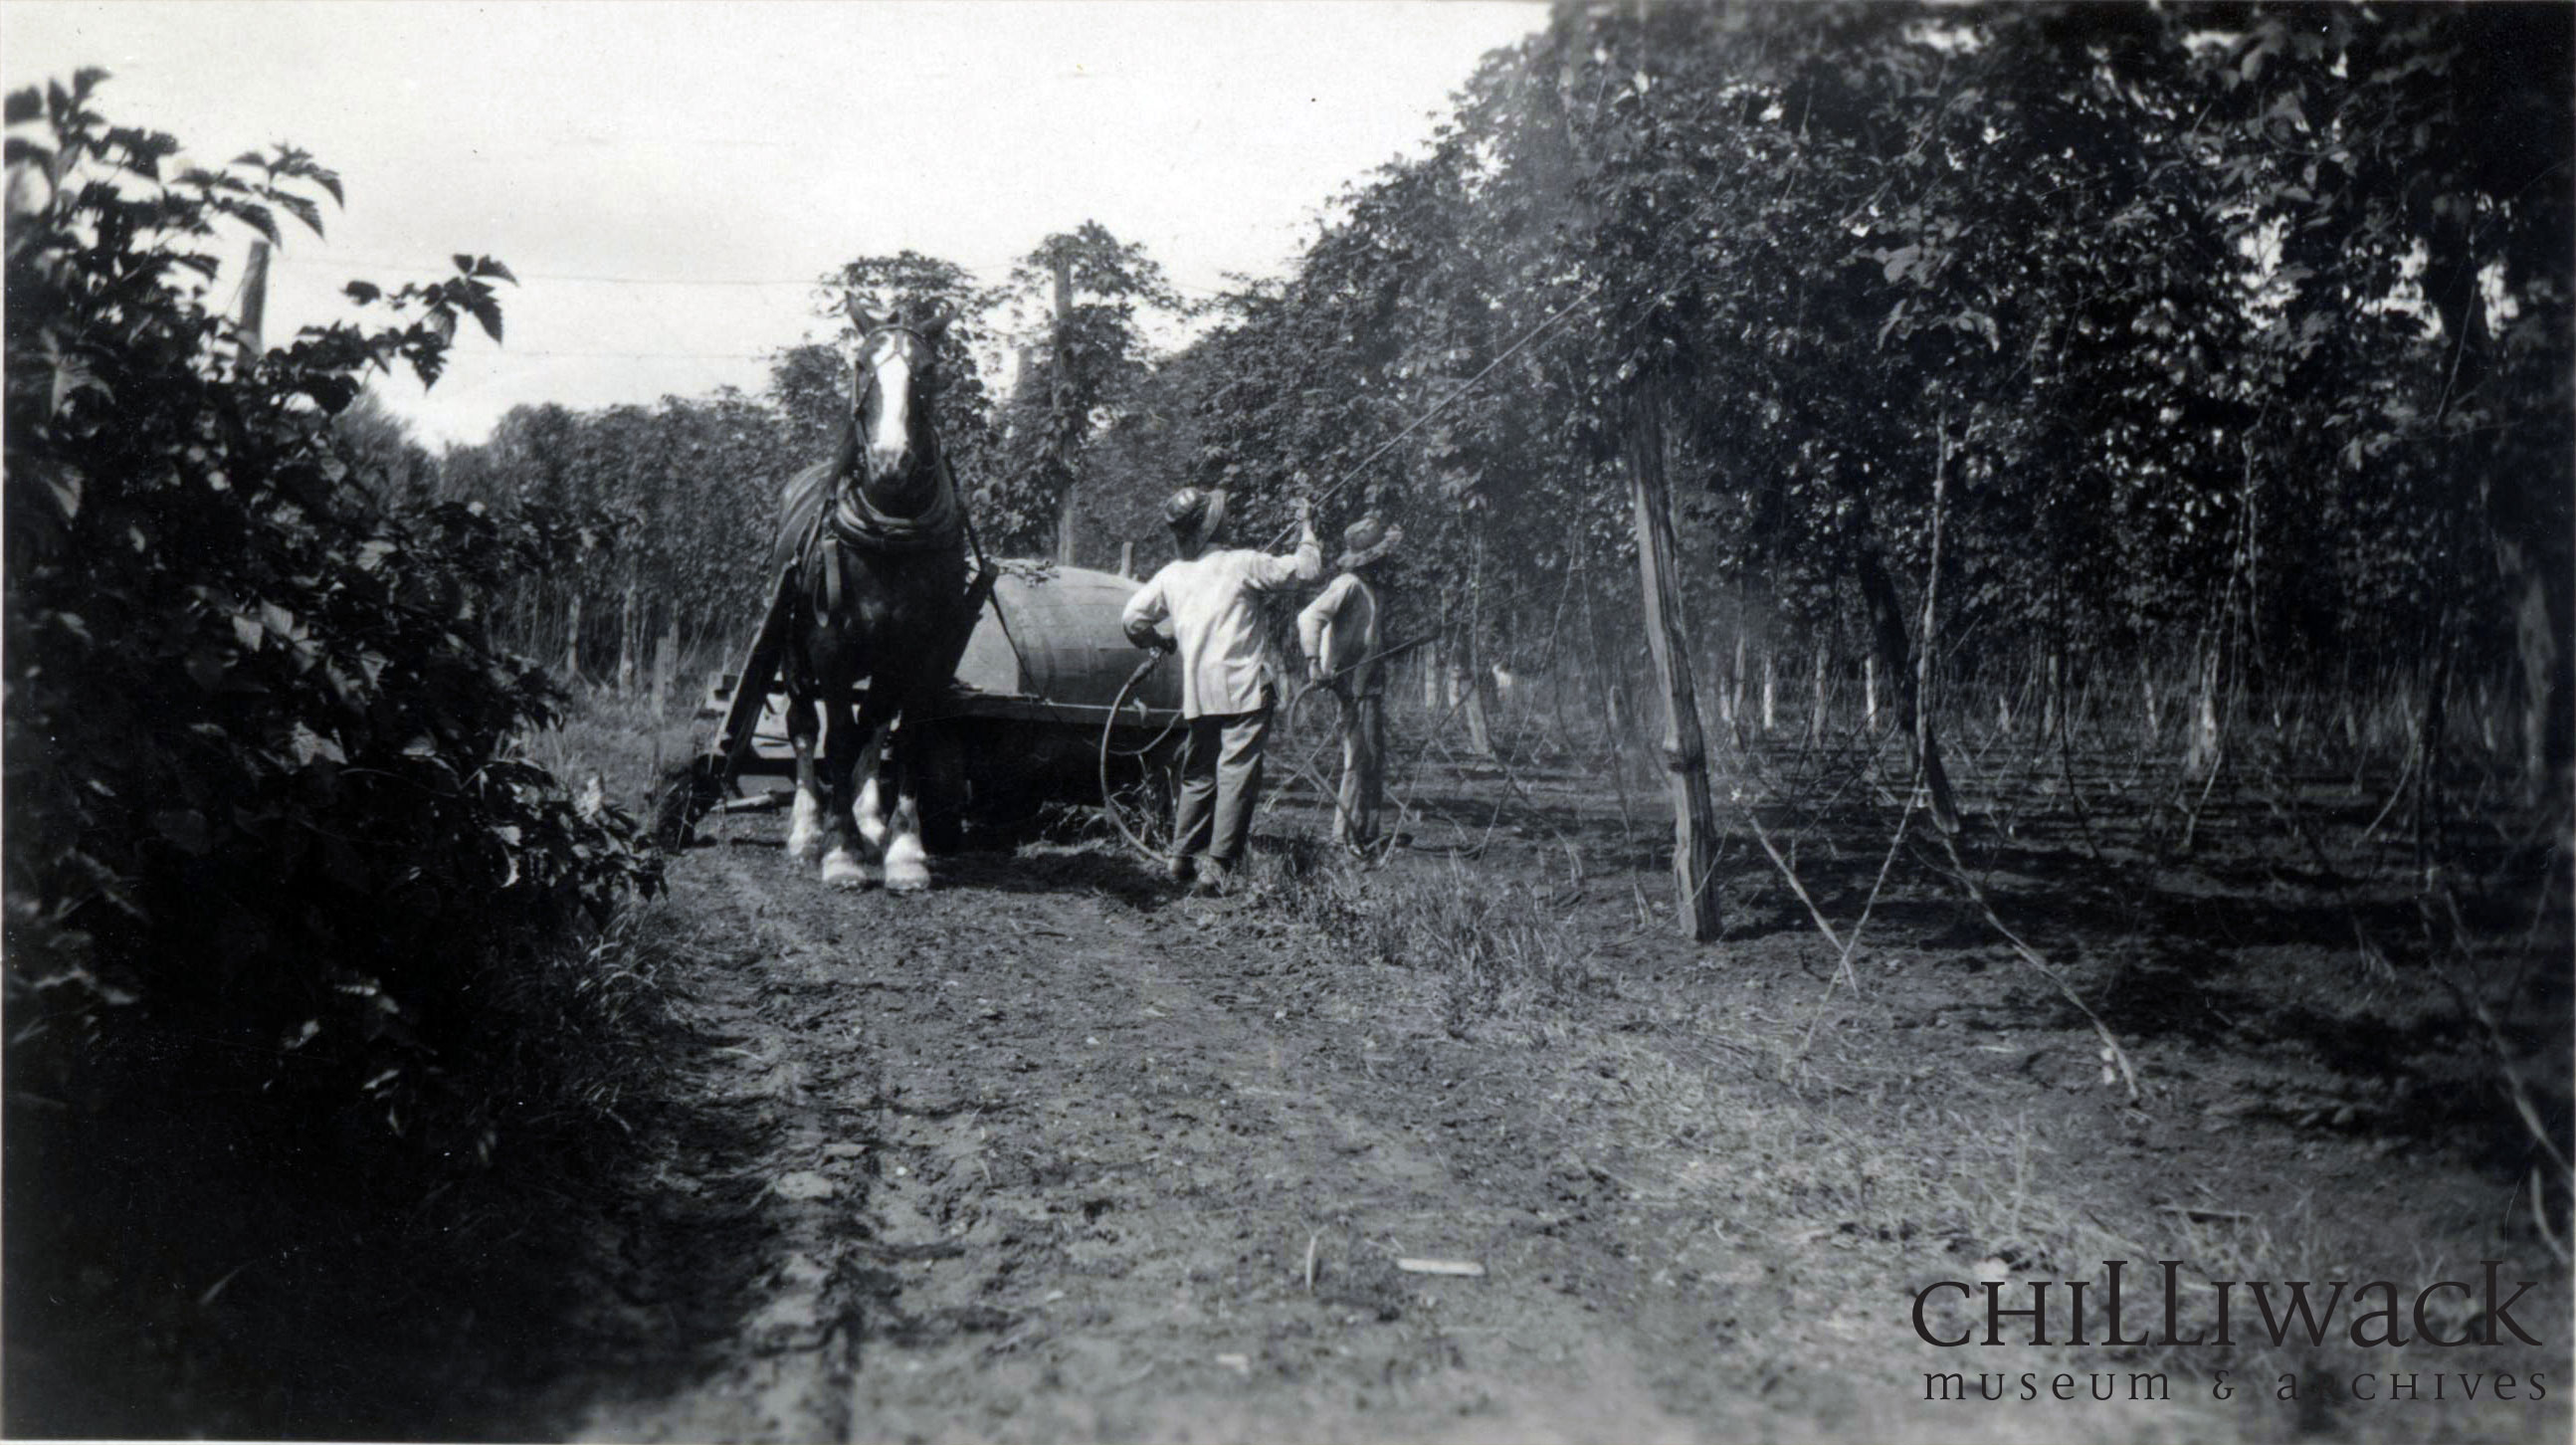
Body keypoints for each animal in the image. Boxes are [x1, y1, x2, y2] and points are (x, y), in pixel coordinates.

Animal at [767, 297, 978, 886]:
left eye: (928, 372)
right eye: (862, 365)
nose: (890, 464)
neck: (892, 533)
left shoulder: (926, 653)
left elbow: (905, 738)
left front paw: (904, 851)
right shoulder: (830, 648)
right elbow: (835, 739)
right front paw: (839, 852)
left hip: (886, 660)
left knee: (876, 722)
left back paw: (870, 822)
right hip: (793, 650)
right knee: (803, 725)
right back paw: (808, 830)